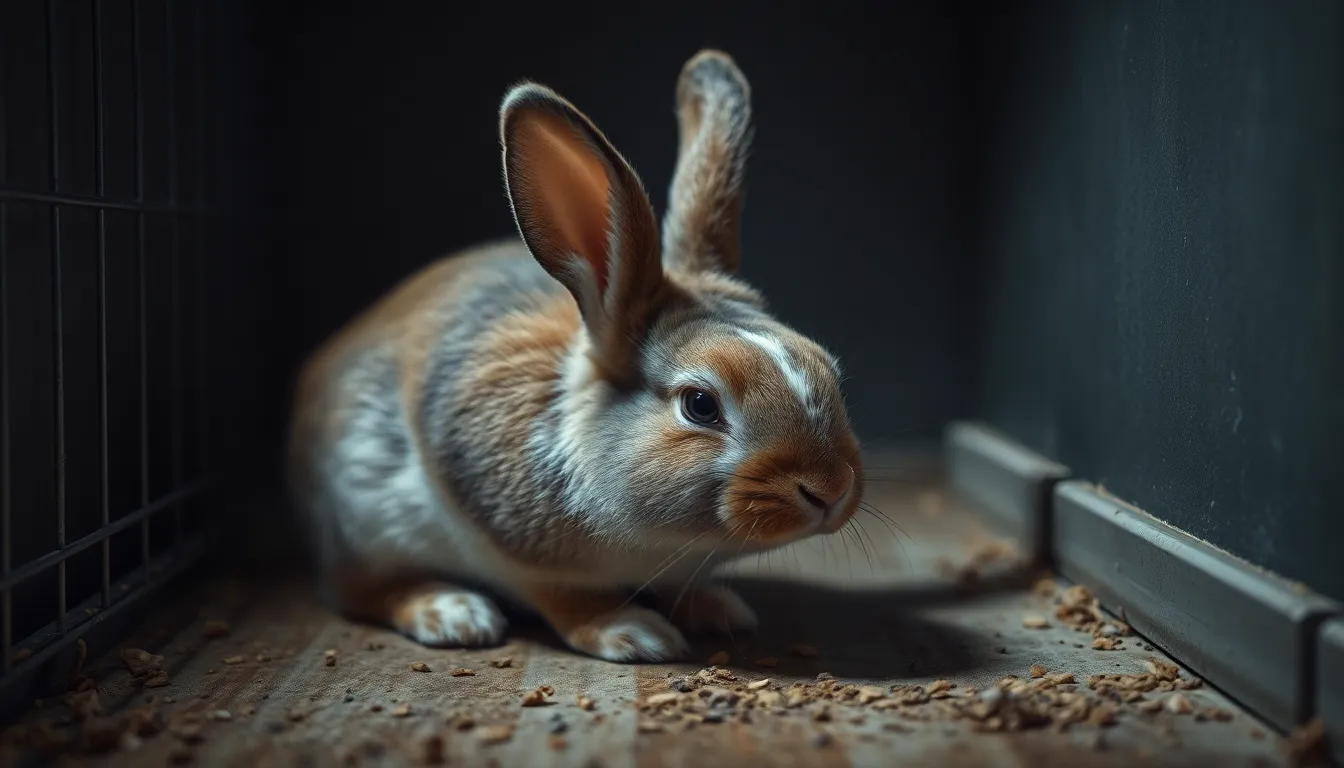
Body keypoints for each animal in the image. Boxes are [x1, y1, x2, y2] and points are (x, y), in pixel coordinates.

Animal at [285, 49, 864, 663]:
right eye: (700, 405)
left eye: (830, 373)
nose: (830, 490)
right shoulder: (509, 546)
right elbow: (565, 597)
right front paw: (633, 633)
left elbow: (683, 586)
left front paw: (719, 610)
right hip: (362, 523)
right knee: (357, 590)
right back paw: (451, 612)